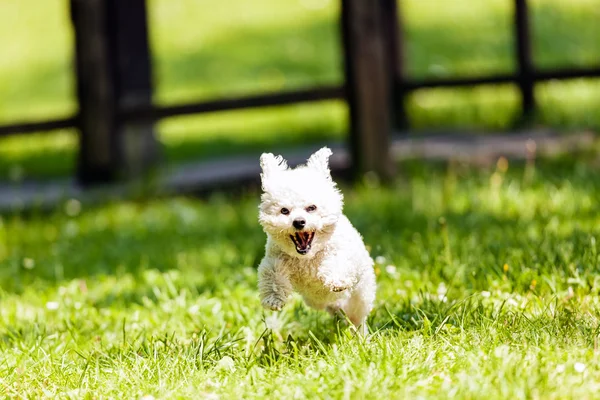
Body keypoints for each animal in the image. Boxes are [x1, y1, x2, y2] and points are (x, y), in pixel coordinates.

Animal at [256, 147, 376, 332]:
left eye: (311, 208)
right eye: (284, 211)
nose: (298, 222)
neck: (308, 258)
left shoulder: (342, 253)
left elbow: (338, 262)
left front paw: (336, 280)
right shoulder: (275, 258)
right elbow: (272, 274)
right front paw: (274, 298)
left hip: (361, 296)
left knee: (357, 316)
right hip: (317, 302)